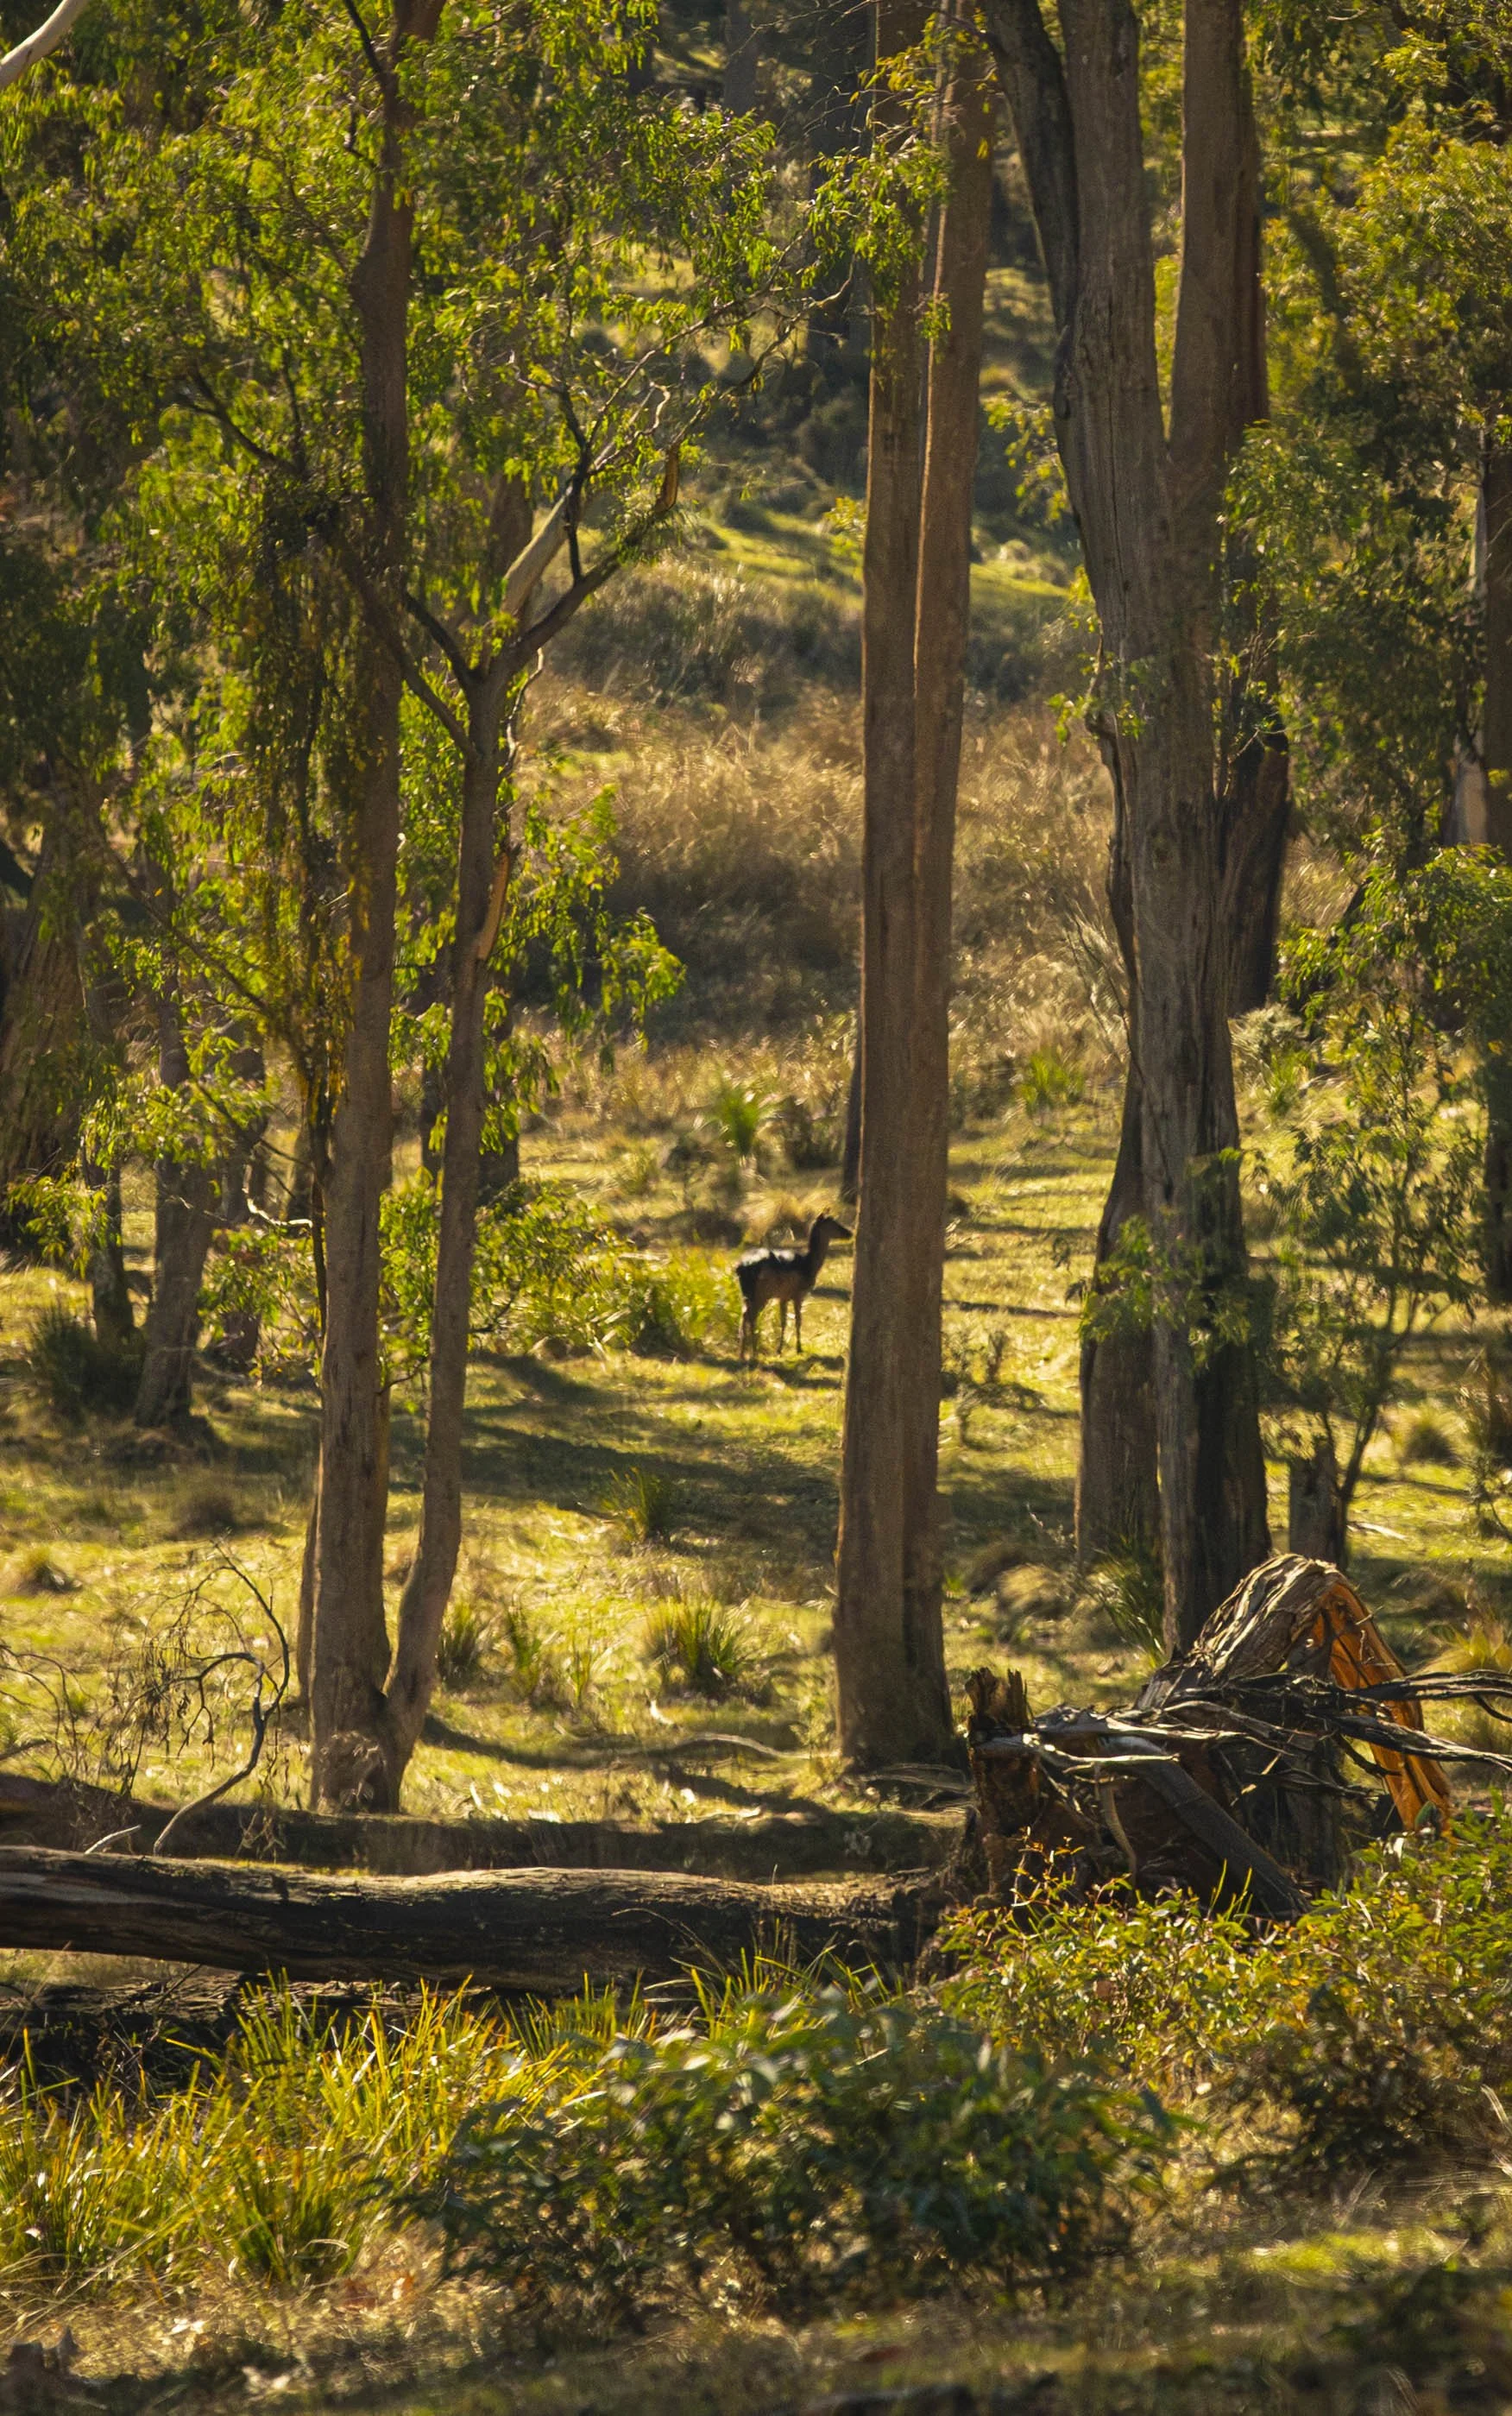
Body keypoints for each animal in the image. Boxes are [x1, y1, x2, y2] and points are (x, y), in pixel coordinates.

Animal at [735, 1213, 851, 1362]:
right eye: (833, 1223)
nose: (849, 1233)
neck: (809, 1266)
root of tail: (741, 1268)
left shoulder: (783, 1296)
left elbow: (784, 1321)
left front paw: (779, 1350)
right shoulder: (798, 1294)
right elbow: (798, 1321)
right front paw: (799, 1349)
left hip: (747, 1293)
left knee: (744, 1315)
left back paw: (742, 1353)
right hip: (761, 1293)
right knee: (752, 1316)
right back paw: (753, 1353)